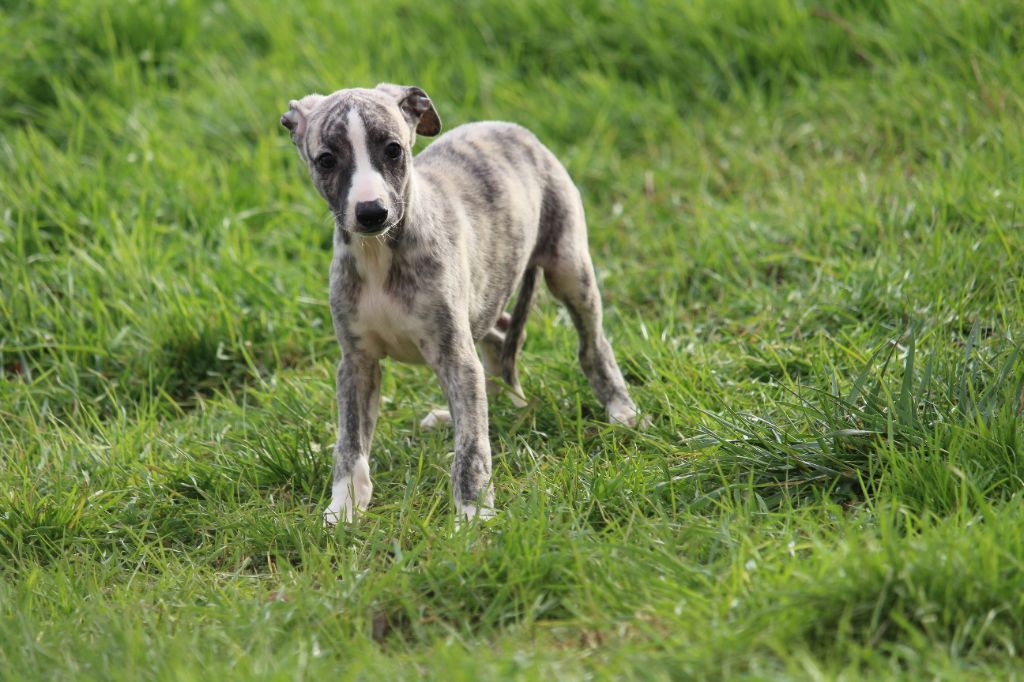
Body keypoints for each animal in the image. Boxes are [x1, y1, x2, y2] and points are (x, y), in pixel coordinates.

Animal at [280, 83, 638, 520]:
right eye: (326, 159)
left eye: (393, 150)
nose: (372, 212)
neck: (380, 253)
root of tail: (508, 126)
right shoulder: (357, 362)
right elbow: (350, 441)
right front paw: (345, 506)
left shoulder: (454, 355)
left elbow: (471, 445)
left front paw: (472, 513)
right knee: (500, 339)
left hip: (568, 267)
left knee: (592, 344)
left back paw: (620, 409)